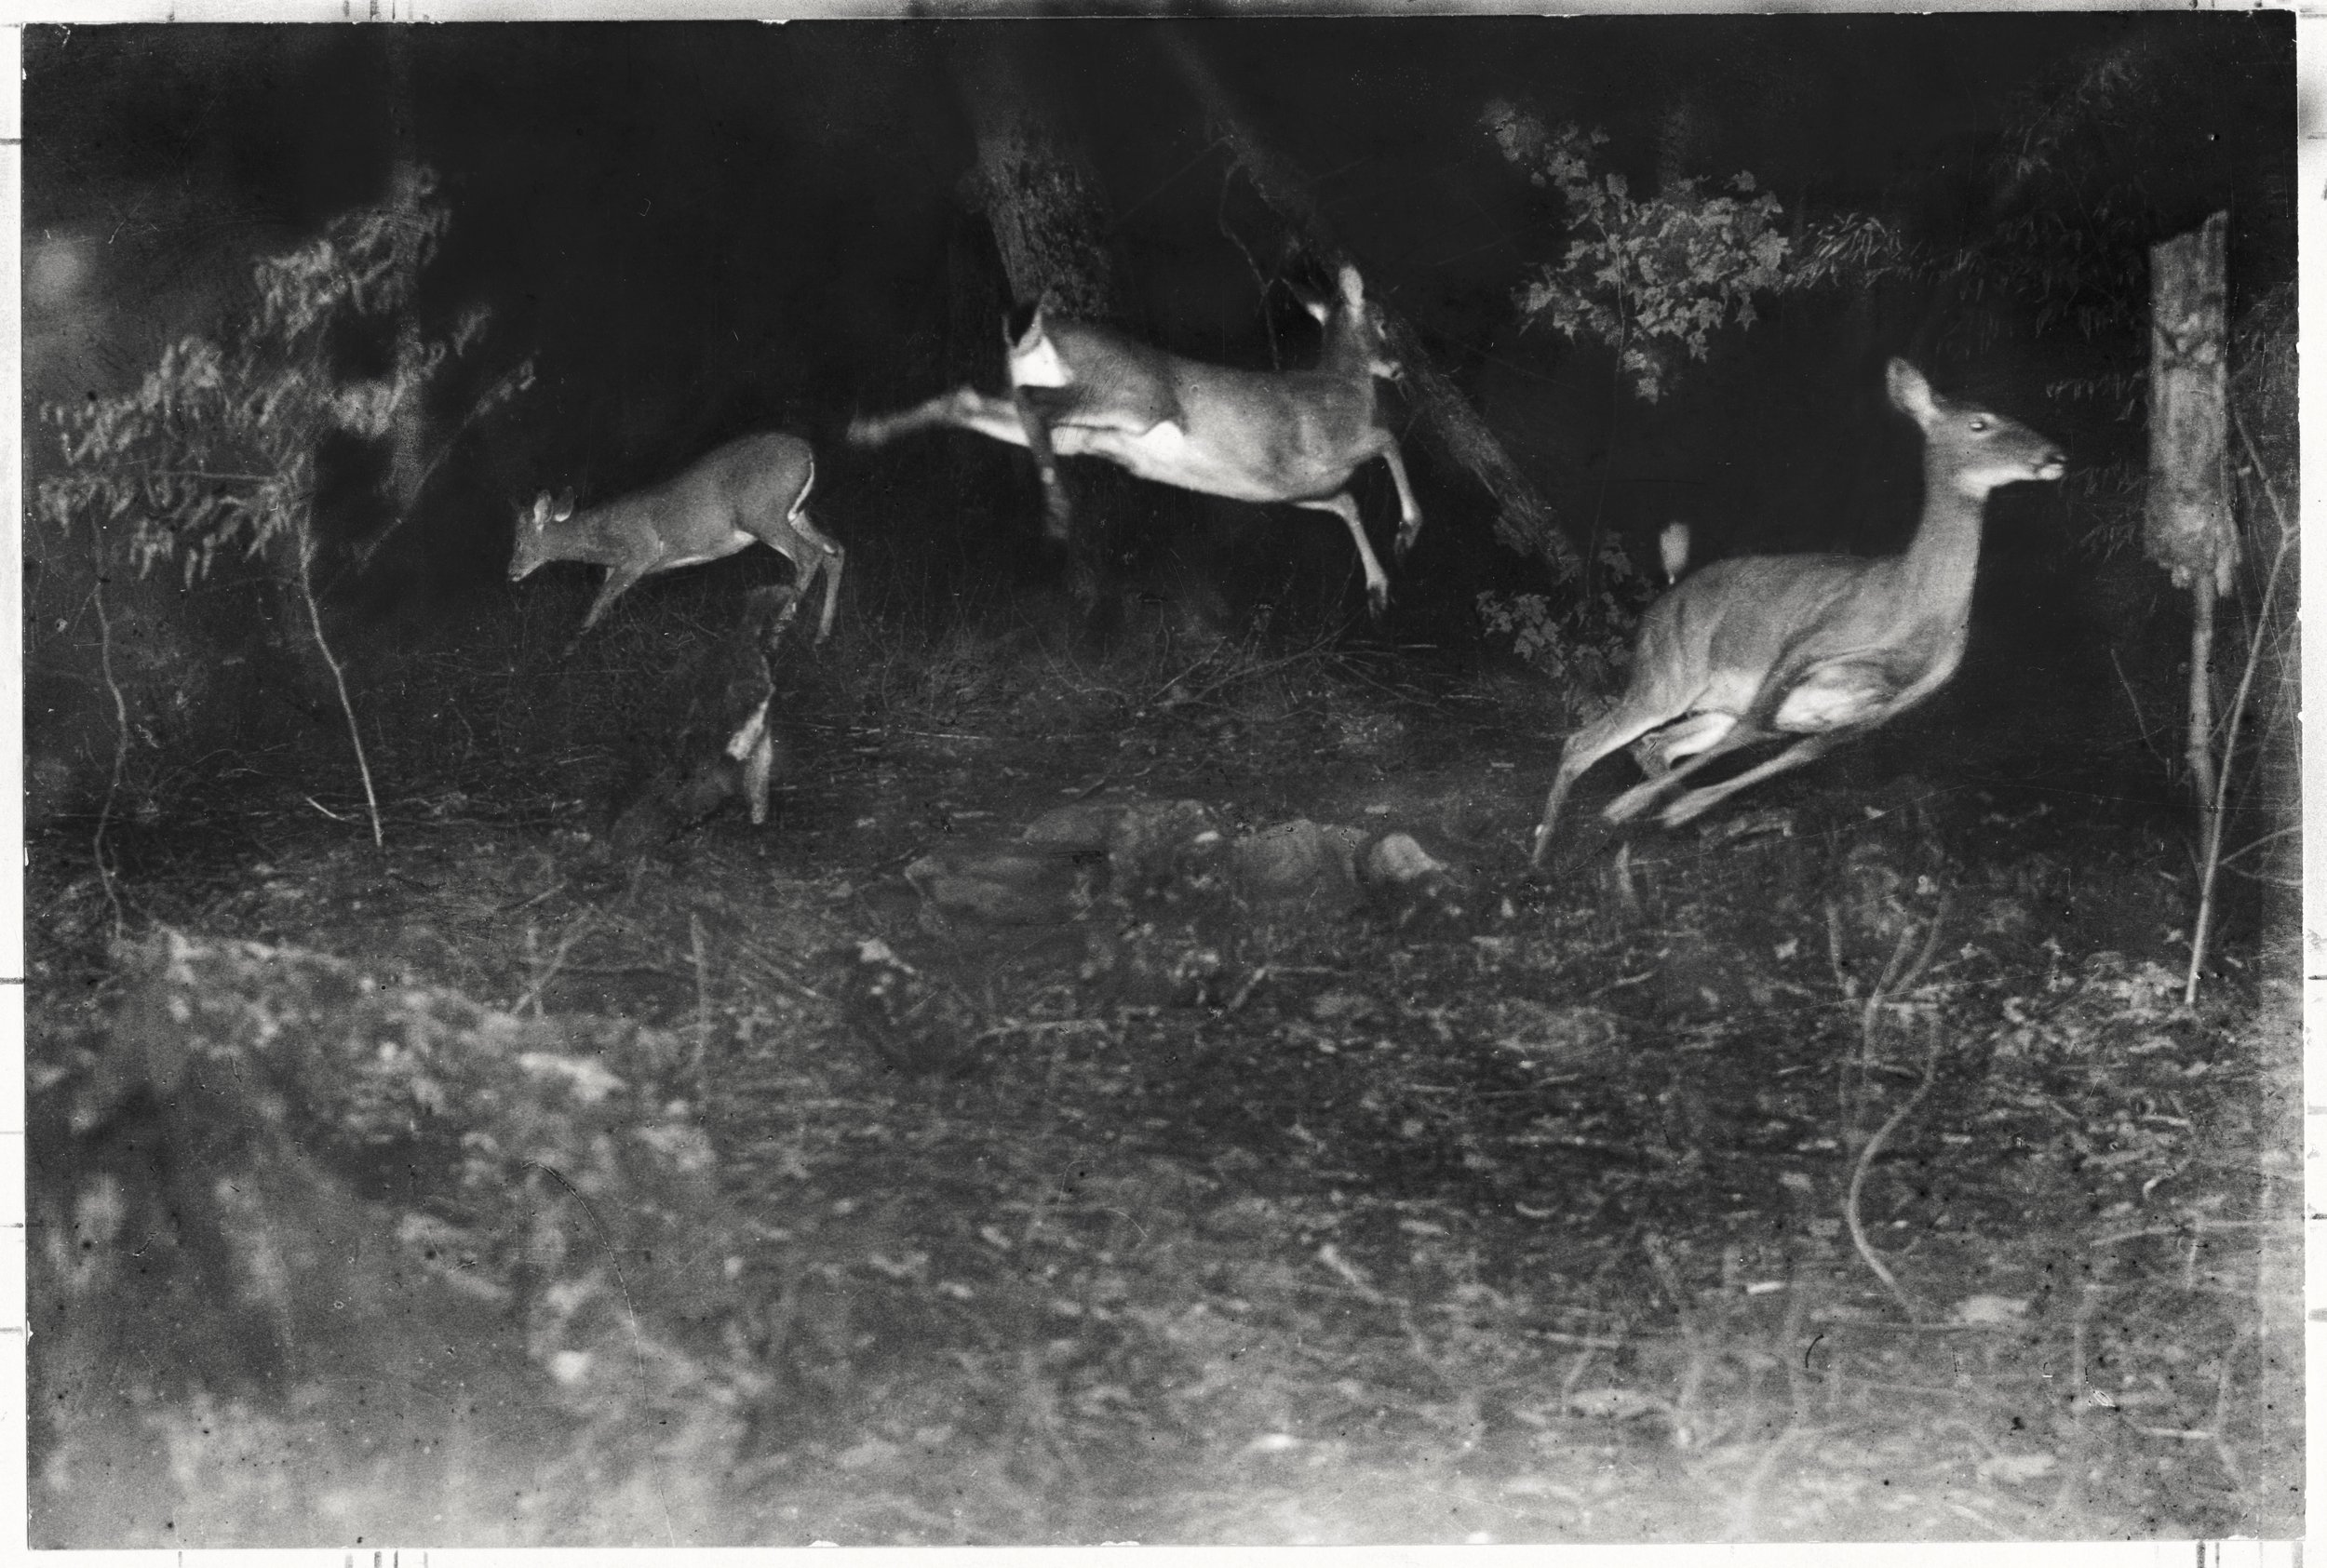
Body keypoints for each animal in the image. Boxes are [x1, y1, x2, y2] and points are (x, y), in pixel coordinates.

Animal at [509, 431, 844, 650]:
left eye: (518, 542)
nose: (511, 572)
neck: (600, 543)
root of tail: (807, 452)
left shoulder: (640, 553)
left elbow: (597, 605)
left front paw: (568, 652)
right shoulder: (615, 567)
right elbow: (603, 605)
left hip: (762, 513)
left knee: (809, 556)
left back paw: (775, 637)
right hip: (794, 513)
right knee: (833, 551)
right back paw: (821, 636)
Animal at [847, 264, 1422, 617]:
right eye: (1383, 320)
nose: (1399, 367)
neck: (1344, 387)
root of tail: (1039, 332)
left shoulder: (1290, 487)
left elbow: (1347, 502)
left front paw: (1379, 590)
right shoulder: (1318, 450)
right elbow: (1388, 440)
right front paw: (1408, 532)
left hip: (1082, 430)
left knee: (969, 399)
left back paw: (865, 430)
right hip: (1134, 396)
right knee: (1031, 399)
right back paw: (1057, 511)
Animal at [1528, 358, 2066, 868]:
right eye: (1980, 423)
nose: (2055, 456)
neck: (1915, 607)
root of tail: (1669, 593)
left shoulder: (1888, 706)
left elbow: (1794, 752)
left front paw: (1681, 809)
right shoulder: (1806, 644)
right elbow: (1756, 730)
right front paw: (1632, 806)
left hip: (1709, 701)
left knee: (1657, 745)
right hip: (1667, 674)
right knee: (1583, 743)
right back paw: (1541, 857)